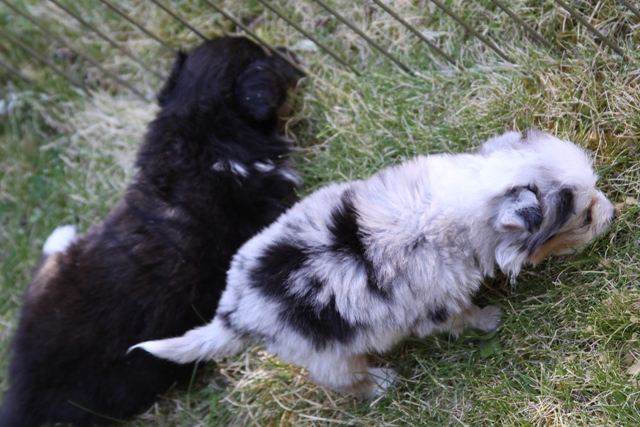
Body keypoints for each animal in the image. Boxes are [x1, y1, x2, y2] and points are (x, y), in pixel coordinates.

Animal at [132, 130, 614, 398]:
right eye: (583, 217)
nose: (612, 213)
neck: (472, 205)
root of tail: (232, 314)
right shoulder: (438, 298)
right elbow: (461, 316)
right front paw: (488, 318)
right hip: (325, 352)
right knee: (342, 379)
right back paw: (379, 385)